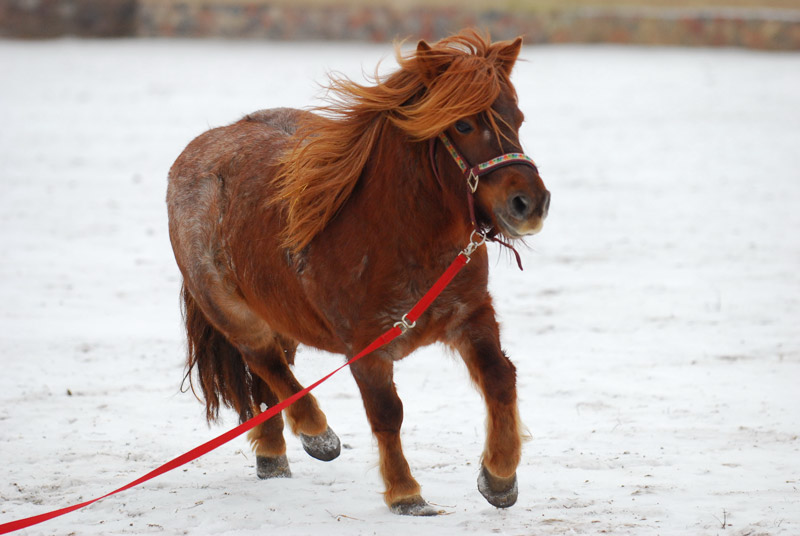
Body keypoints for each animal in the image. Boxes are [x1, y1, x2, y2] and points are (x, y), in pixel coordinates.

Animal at [164, 29, 552, 516]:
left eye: (517, 117)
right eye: (462, 125)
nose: (530, 204)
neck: (402, 236)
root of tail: (201, 148)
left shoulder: (471, 316)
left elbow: (501, 379)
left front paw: (499, 476)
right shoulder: (365, 344)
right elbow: (387, 412)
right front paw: (406, 493)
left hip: (282, 316)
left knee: (269, 381)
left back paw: (273, 456)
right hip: (231, 310)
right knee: (265, 361)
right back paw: (316, 433)